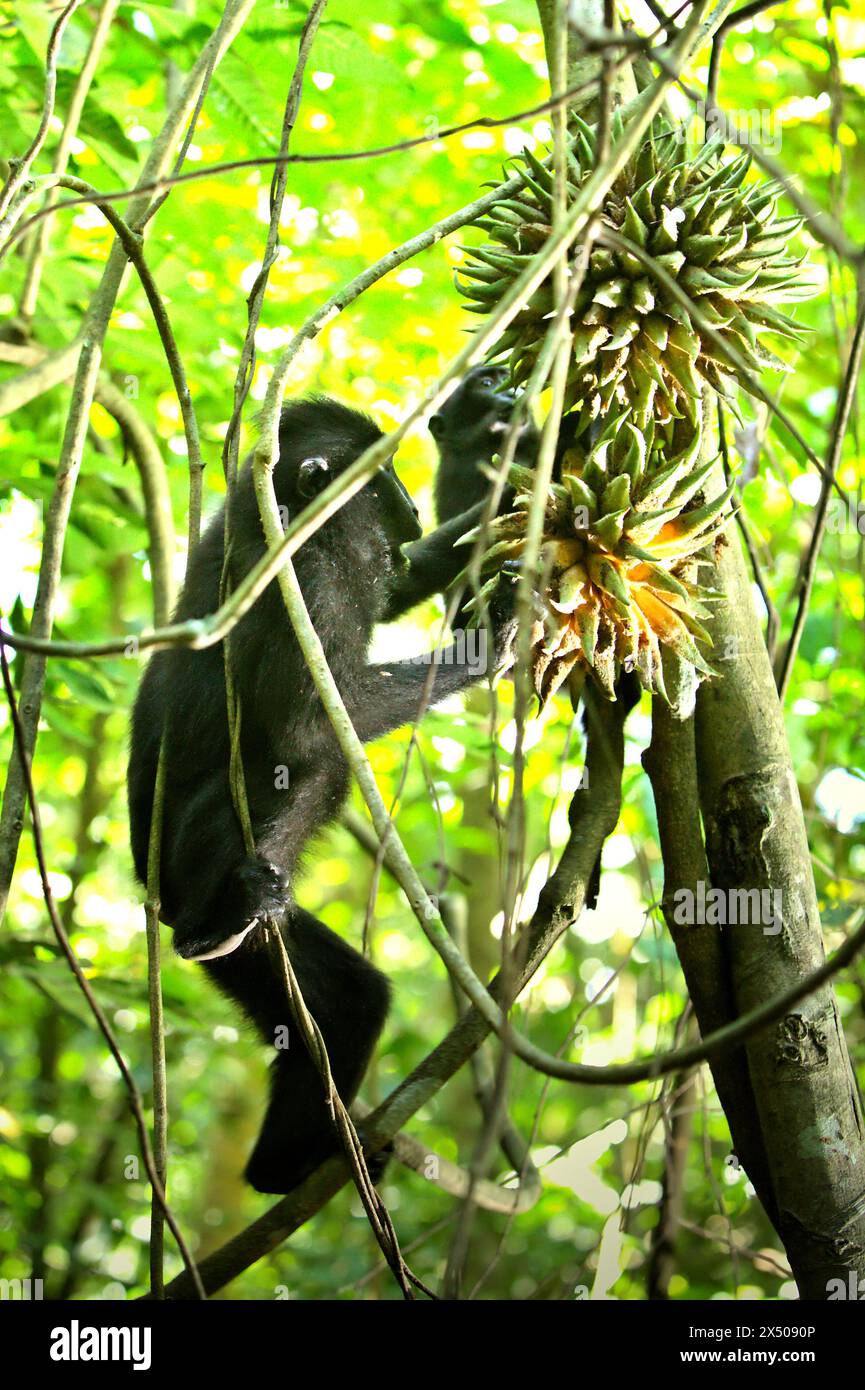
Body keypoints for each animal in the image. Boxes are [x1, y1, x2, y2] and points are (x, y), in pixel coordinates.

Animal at [127, 396, 518, 1194]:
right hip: (190, 875)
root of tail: (153, 896)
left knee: (349, 1001)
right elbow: (306, 728)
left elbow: (402, 581)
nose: (410, 506)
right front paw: (490, 640)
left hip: (266, 966)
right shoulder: (312, 575)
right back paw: (218, 919)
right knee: (305, 764)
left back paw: (286, 1166)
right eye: (382, 476)